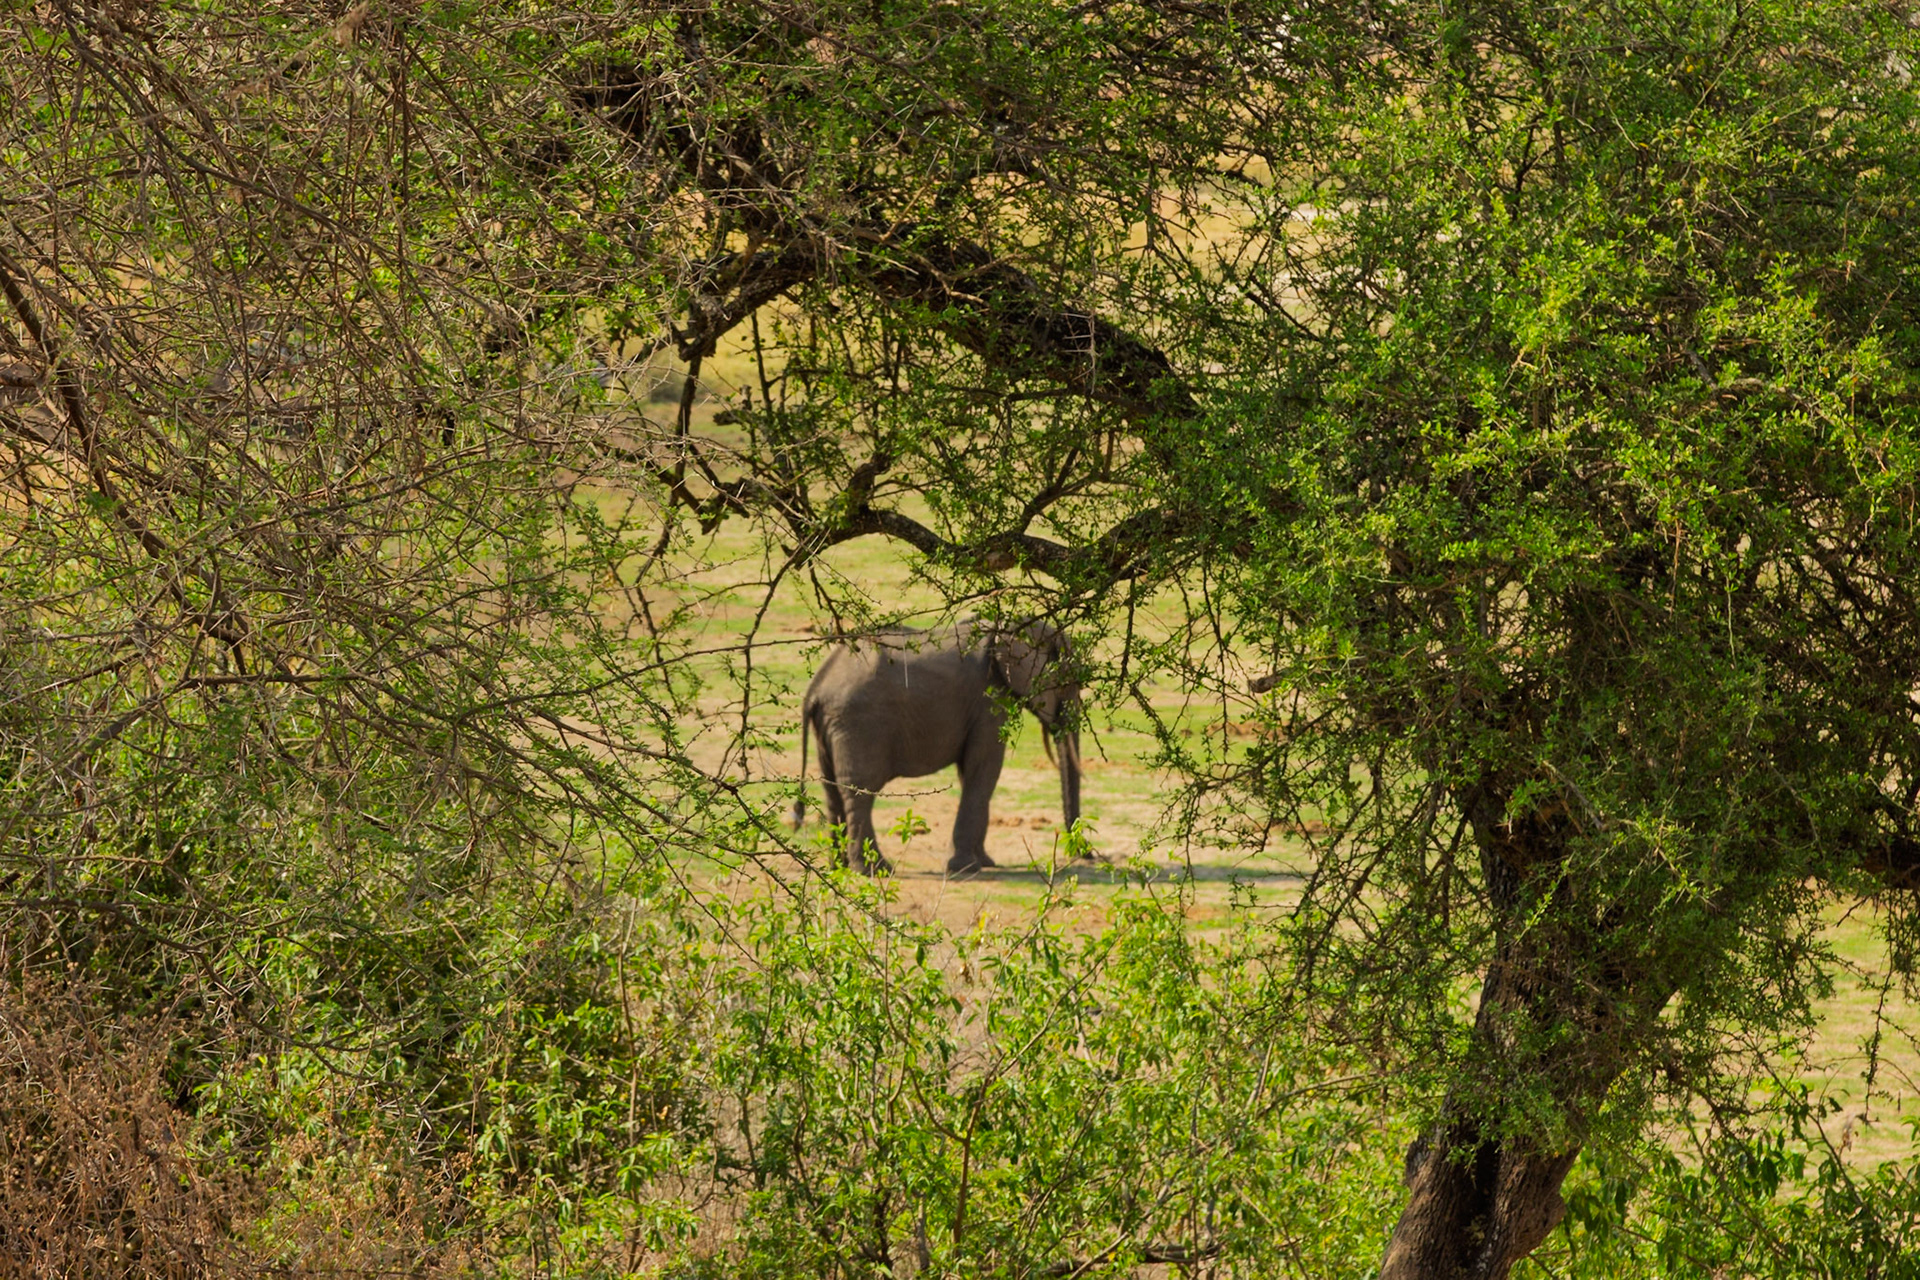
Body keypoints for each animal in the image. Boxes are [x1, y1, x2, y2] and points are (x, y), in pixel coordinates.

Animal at [793, 619, 1082, 874]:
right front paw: (966, 868)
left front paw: (985, 862)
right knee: (860, 792)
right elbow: (985, 769)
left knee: (832, 790)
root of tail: (816, 686)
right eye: (1068, 683)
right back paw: (875, 870)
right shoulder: (988, 700)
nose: (1083, 855)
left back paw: (838, 868)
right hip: (858, 724)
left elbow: (971, 773)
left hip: (831, 726)